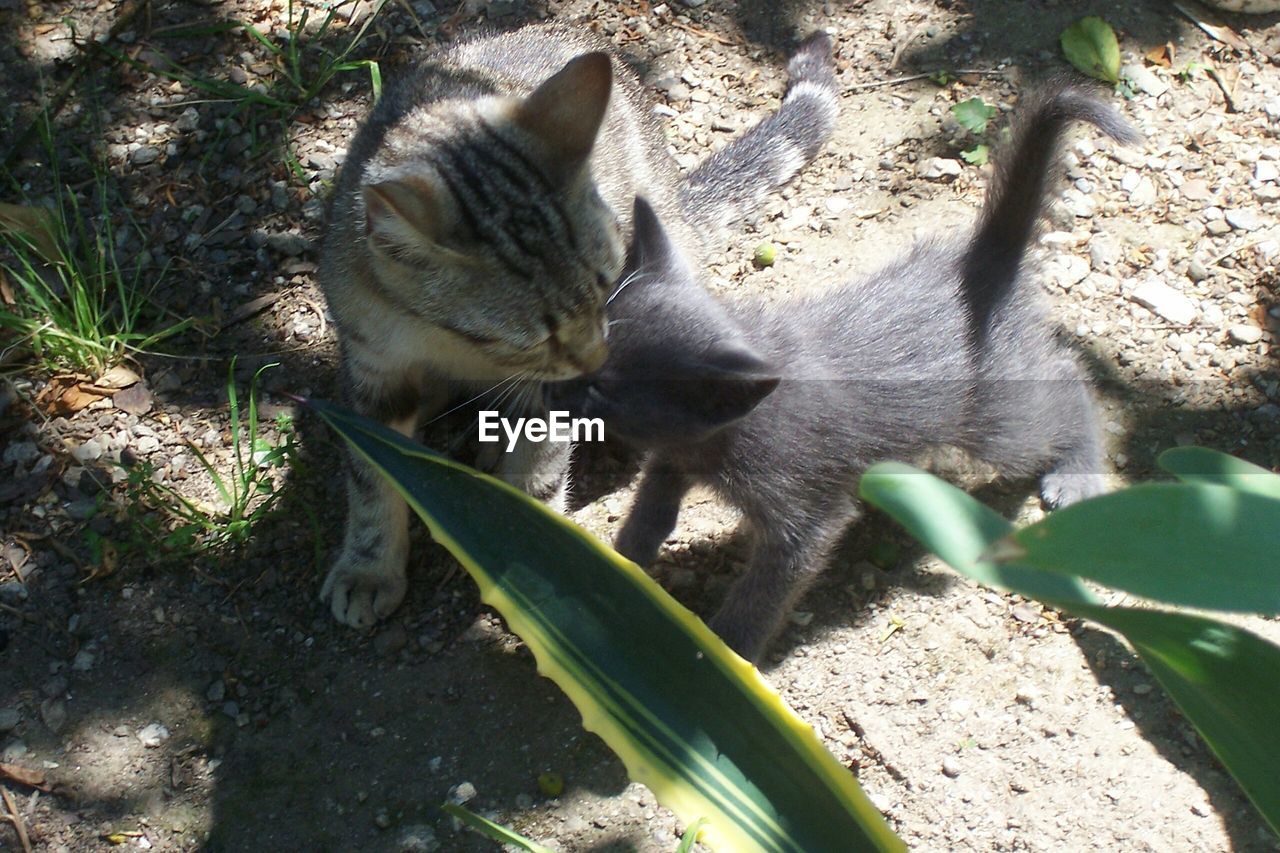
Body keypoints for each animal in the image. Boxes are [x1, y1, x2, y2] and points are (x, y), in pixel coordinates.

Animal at [320, 24, 839, 625]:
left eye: (609, 288)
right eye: (535, 335)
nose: (597, 360)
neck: (446, 341)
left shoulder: (552, 393)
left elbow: (539, 473)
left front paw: (535, 554)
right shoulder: (373, 368)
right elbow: (370, 476)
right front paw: (368, 566)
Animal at [550, 84, 1141, 655]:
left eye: (603, 390)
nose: (557, 388)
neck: (721, 438)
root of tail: (981, 267)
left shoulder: (807, 513)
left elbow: (768, 590)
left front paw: (726, 649)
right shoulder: (674, 458)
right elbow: (651, 511)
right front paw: (620, 560)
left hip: (998, 424)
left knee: (1065, 380)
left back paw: (1076, 473)